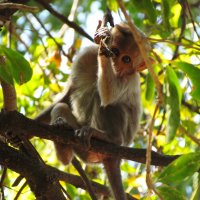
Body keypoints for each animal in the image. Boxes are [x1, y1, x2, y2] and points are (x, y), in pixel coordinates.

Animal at [49, 21, 151, 199]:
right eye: (115, 52)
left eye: (126, 59)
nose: (115, 65)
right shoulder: (85, 56)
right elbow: (65, 98)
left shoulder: (130, 79)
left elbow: (108, 95)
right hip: (86, 153)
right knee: (61, 107)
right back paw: (63, 144)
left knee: (108, 101)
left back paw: (109, 138)